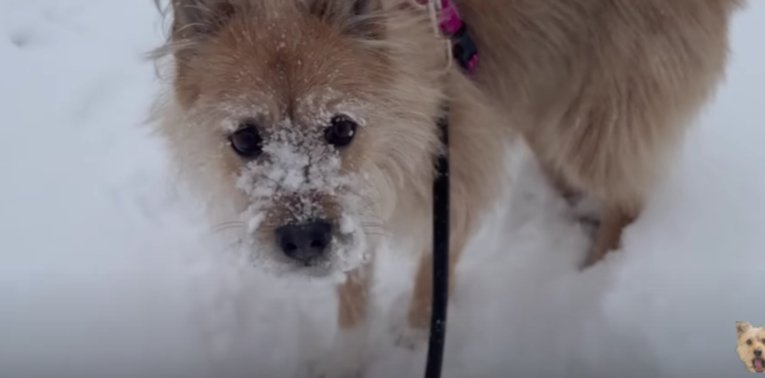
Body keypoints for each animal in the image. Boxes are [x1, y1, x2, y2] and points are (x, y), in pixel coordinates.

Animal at [152, 0, 744, 364]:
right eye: (245, 139)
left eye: (342, 128)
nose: (303, 240)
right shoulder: (360, 202)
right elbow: (352, 290)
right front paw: (347, 360)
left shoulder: (456, 170)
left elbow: (431, 275)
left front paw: (415, 345)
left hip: (597, 112)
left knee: (626, 196)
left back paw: (594, 272)